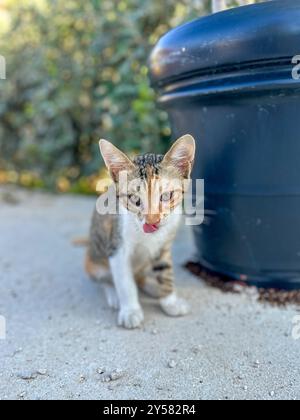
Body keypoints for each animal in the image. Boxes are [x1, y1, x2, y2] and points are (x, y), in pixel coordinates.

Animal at [85, 135, 196, 328]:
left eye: (166, 196)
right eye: (135, 199)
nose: (152, 222)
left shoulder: (164, 245)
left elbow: (165, 272)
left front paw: (170, 302)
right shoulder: (117, 246)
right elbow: (124, 281)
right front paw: (130, 310)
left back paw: (151, 287)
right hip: (95, 257)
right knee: (104, 277)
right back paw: (113, 294)